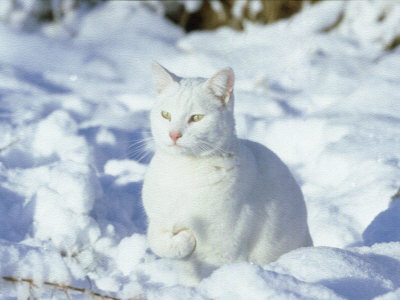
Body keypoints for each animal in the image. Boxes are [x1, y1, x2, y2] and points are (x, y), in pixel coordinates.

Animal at [142, 61, 314, 286]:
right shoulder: (159, 220)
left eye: (196, 118)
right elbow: (157, 241)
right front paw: (183, 241)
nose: (174, 134)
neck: (184, 174)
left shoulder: (225, 244)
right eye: (166, 115)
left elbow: (215, 274)